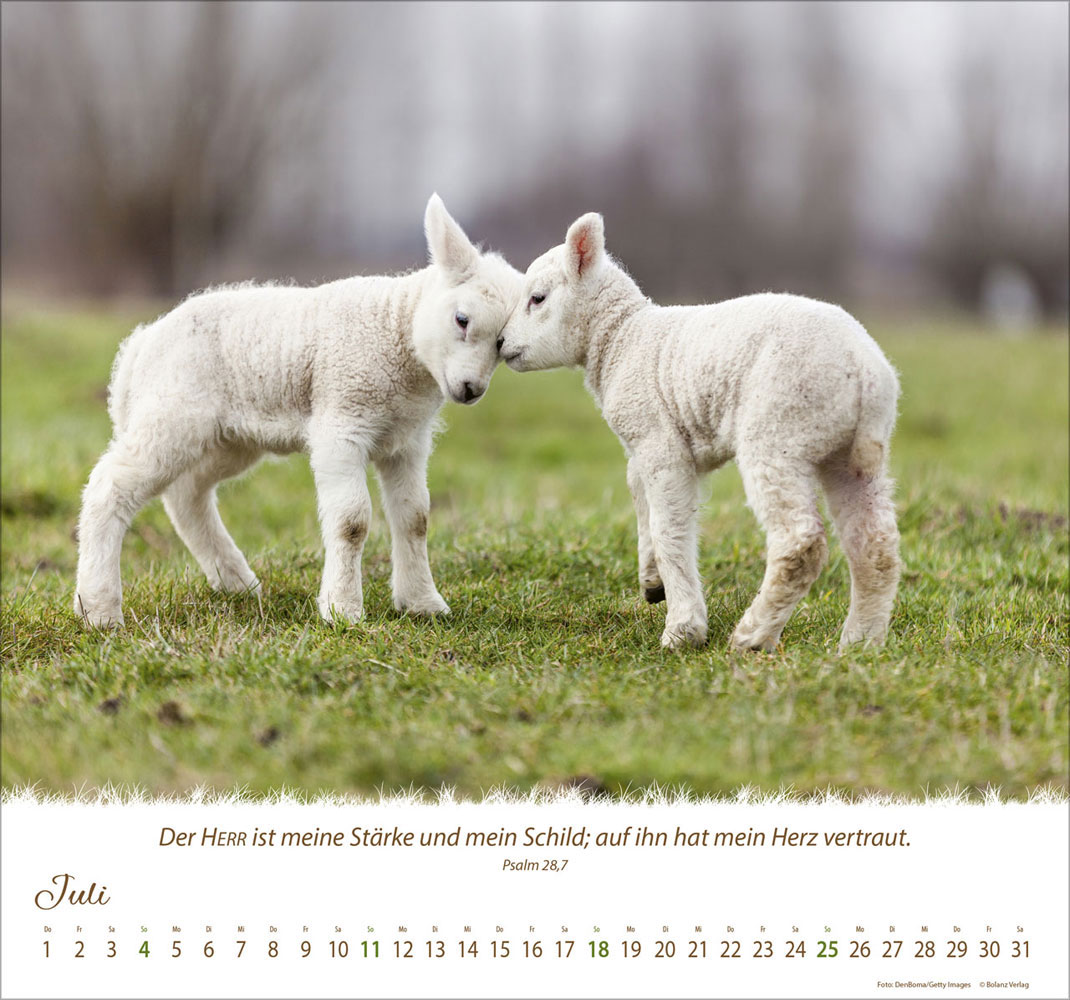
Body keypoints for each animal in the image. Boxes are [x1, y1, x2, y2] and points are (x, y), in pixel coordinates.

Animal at [74, 194, 521, 628]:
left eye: (502, 345)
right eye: (461, 320)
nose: (471, 390)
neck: (396, 330)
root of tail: (139, 346)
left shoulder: (406, 441)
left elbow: (416, 518)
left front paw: (422, 604)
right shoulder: (342, 421)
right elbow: (352, 521)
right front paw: (343, 610)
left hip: (228, 438)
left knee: (187, 495)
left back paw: (237, 583)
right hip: (172, 413)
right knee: (110, 486)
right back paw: (99, 609)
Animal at [498, 212, 901, 652]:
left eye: (537, 298)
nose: (500, 343)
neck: (621, 338)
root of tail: (864, 368)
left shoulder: (659, 442)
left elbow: (669, 528)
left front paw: (683, 628)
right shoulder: (655, 443)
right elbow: (639, 496)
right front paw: (652, 581)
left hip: (779, 430)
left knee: (801, 543)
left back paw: (752, 636)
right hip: (848, 452)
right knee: (875, 544)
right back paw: (860, 642)